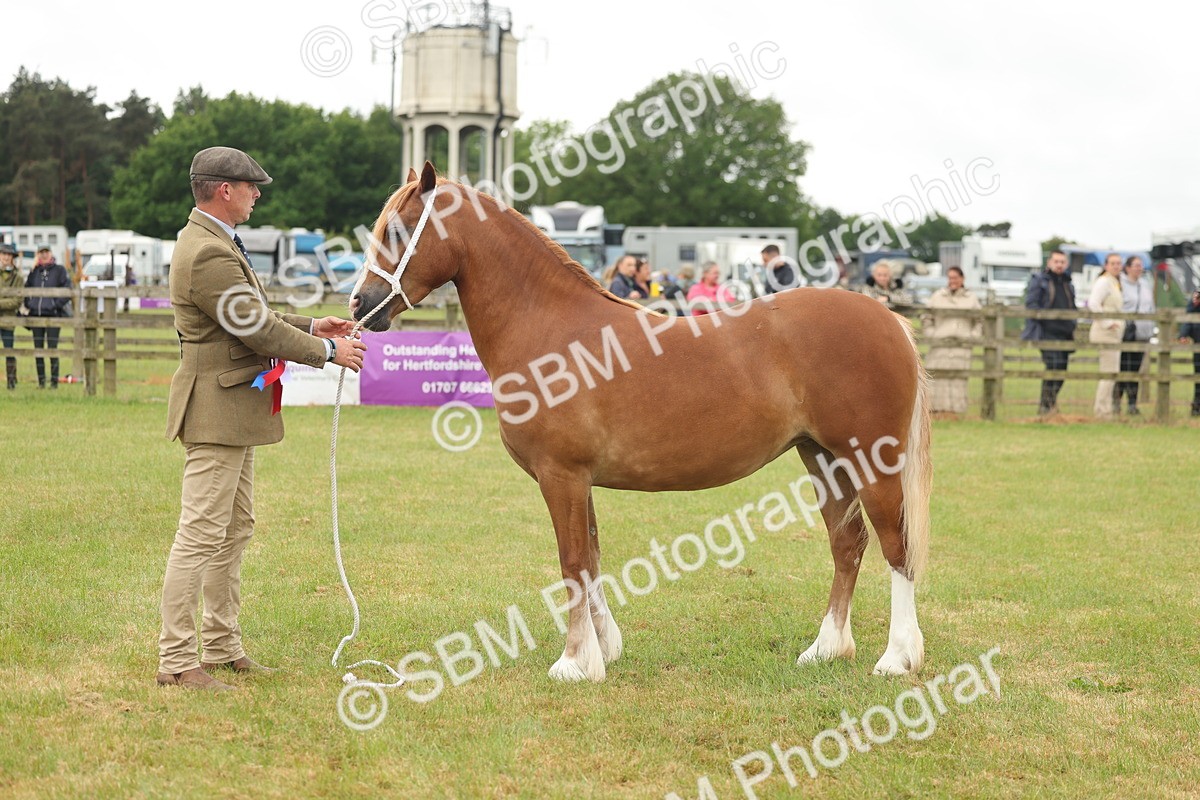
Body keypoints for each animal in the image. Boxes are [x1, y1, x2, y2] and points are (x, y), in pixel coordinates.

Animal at [351, 163, 932, 682]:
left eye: (397, 230)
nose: (359, 303)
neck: (550, 328)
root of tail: (890, 319)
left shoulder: (561, 476)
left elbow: (571, 561)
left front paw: (573, 663)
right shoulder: (579, 480)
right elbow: (590, 557)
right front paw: (603, 650)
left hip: (871, 461)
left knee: (896, 547)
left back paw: (896, 658)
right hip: (823, 458)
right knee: (847, 543)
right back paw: (826, 650)